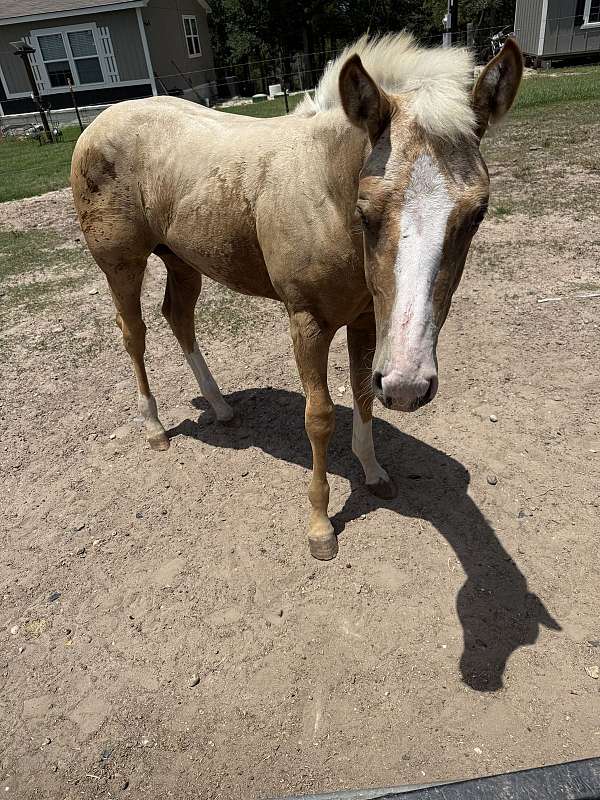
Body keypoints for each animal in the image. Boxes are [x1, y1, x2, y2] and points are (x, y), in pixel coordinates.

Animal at [71, 34, 523, 561]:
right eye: (366, 212)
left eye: (478, 213)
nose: (408, 386)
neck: (323, 189)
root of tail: (99, 122)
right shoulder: (307, 322)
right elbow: (319, 417)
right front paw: (321, 527)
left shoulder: (366, 320)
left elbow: (363, 394)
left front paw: (374, 473)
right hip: (122, 264)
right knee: (134, 334)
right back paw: (155, 428)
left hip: (183, 258)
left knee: (178, 316)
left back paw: (221, 407)